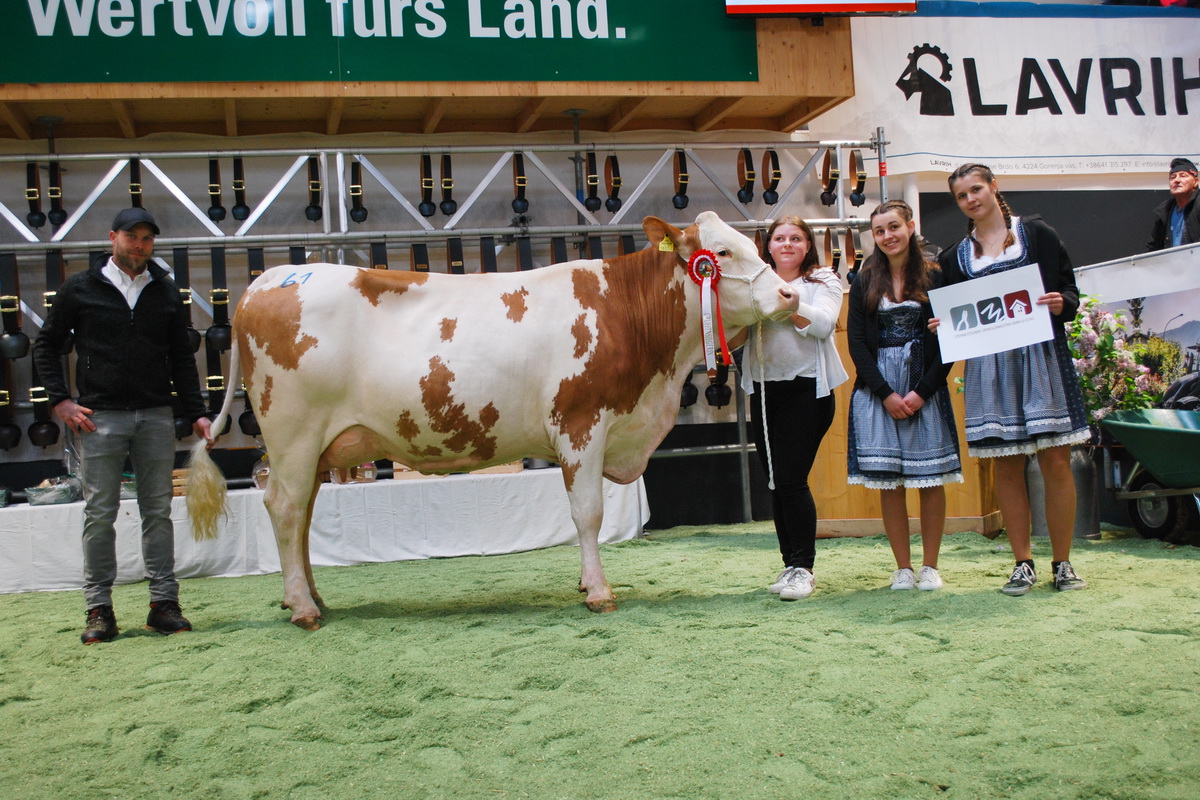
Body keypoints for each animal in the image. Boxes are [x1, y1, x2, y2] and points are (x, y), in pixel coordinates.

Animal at [189, 214, 796, 633]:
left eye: (754, 245)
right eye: (721, 252)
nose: (789, 292)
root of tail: (267, 280)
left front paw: (585, 583)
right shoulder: (581, 424)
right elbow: (588, 513)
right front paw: (599, 591)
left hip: (316, 449)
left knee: (302, 516)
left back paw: (312, 597)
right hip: (292, 435)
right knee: (284, 509)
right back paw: (301, 607)